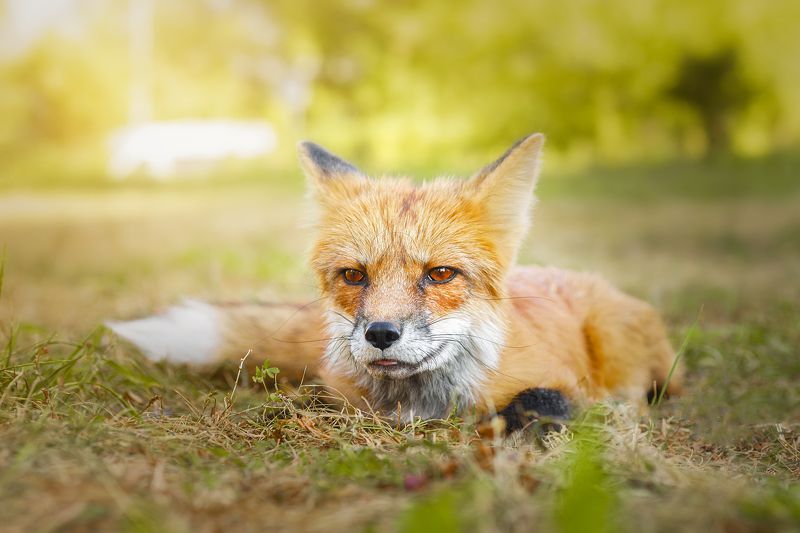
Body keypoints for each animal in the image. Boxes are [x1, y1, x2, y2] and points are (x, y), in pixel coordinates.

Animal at [108, 133, 683, 430]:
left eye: (441, 273)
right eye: (353, 275)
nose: (380, 334)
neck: (421, 406)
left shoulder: (560, 381)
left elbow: (543, 404)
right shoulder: (338, 391)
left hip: (616, 339)